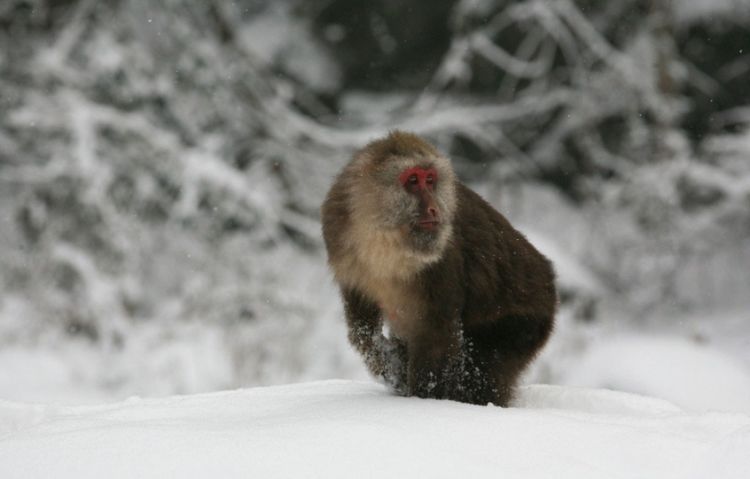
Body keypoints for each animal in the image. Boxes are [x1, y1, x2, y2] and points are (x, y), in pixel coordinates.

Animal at [324, 130, 560, 404]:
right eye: (413, 180)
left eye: (430, 180)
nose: (433, 208)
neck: (385, 236)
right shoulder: (338, 232)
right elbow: (362, 327)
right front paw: (388, 361)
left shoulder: (443, 259)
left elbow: (436, 336)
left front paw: (424, 400)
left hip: (523, 324)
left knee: (484, 369)